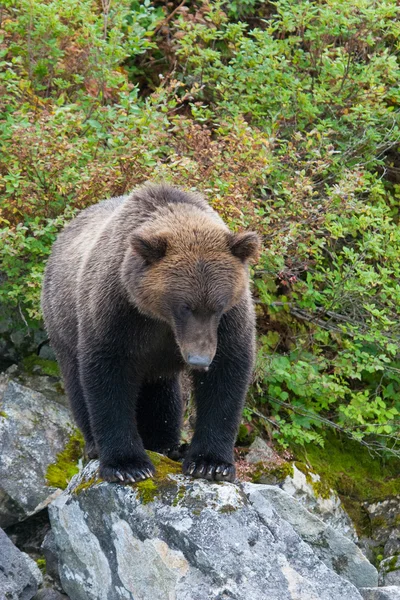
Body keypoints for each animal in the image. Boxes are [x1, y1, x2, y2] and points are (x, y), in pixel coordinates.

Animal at [40, 183, 260, 482]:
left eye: (217, 306)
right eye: (184, 306)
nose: (199, 360)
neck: (161, 319)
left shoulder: (228, 323)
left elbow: (226, 374)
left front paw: (210, 463)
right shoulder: (118, 311)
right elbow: (108, 376)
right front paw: (127, 465)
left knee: (163, 395)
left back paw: (166, 445)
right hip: (62, 321)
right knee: (77, 384)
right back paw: (96, 445)